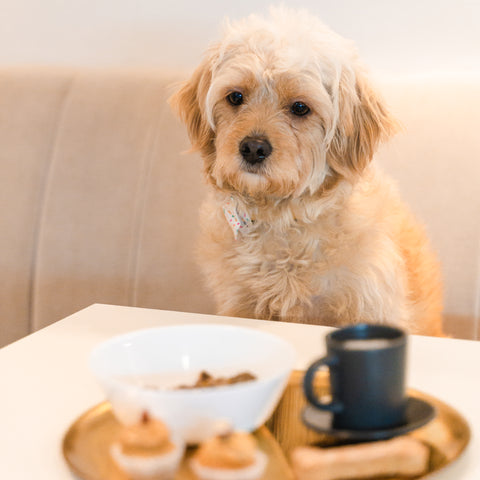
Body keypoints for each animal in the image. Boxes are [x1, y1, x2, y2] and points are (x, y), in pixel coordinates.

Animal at [171, 7, 444, 338]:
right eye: (235, 97)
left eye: (300, 107)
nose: (252, 148)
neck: (283, 219)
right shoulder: (239, 304)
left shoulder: (372, 307)